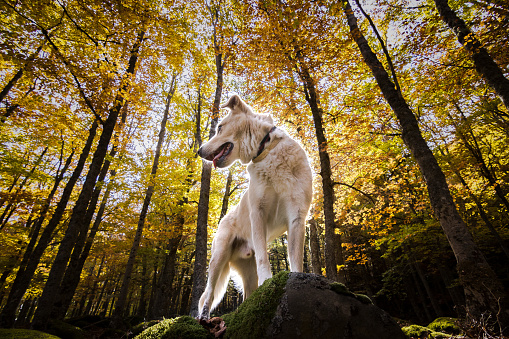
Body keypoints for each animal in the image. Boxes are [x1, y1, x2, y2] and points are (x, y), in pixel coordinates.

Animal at [195, 94, 312, 320]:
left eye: (219, 127)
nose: (199, 151)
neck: (266, 150)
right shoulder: (258, 213)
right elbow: (264, 258)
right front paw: (269, 280)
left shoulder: (297, 216)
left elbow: (295, 259)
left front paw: (295, 279)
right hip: (218, 258)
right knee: (209, 294)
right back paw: (203, 319)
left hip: (248, 274)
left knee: (247, 297)